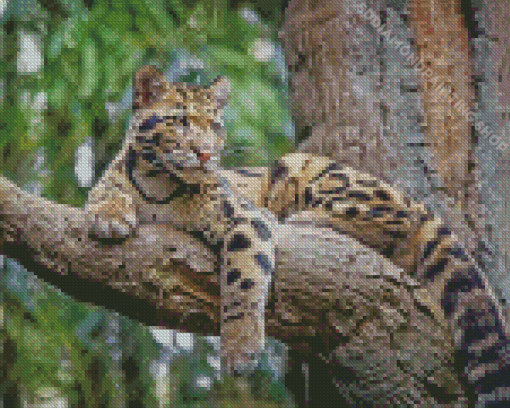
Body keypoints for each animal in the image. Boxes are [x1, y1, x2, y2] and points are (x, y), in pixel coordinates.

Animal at [84, 65, 274, 374]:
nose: (206, 153)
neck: (157, 183)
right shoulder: (110, 179)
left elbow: (245, 275)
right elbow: (108, 190)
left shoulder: (248, 217)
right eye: (180, 121)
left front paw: (241, 344)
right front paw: (109, 216)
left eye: (215, 127)